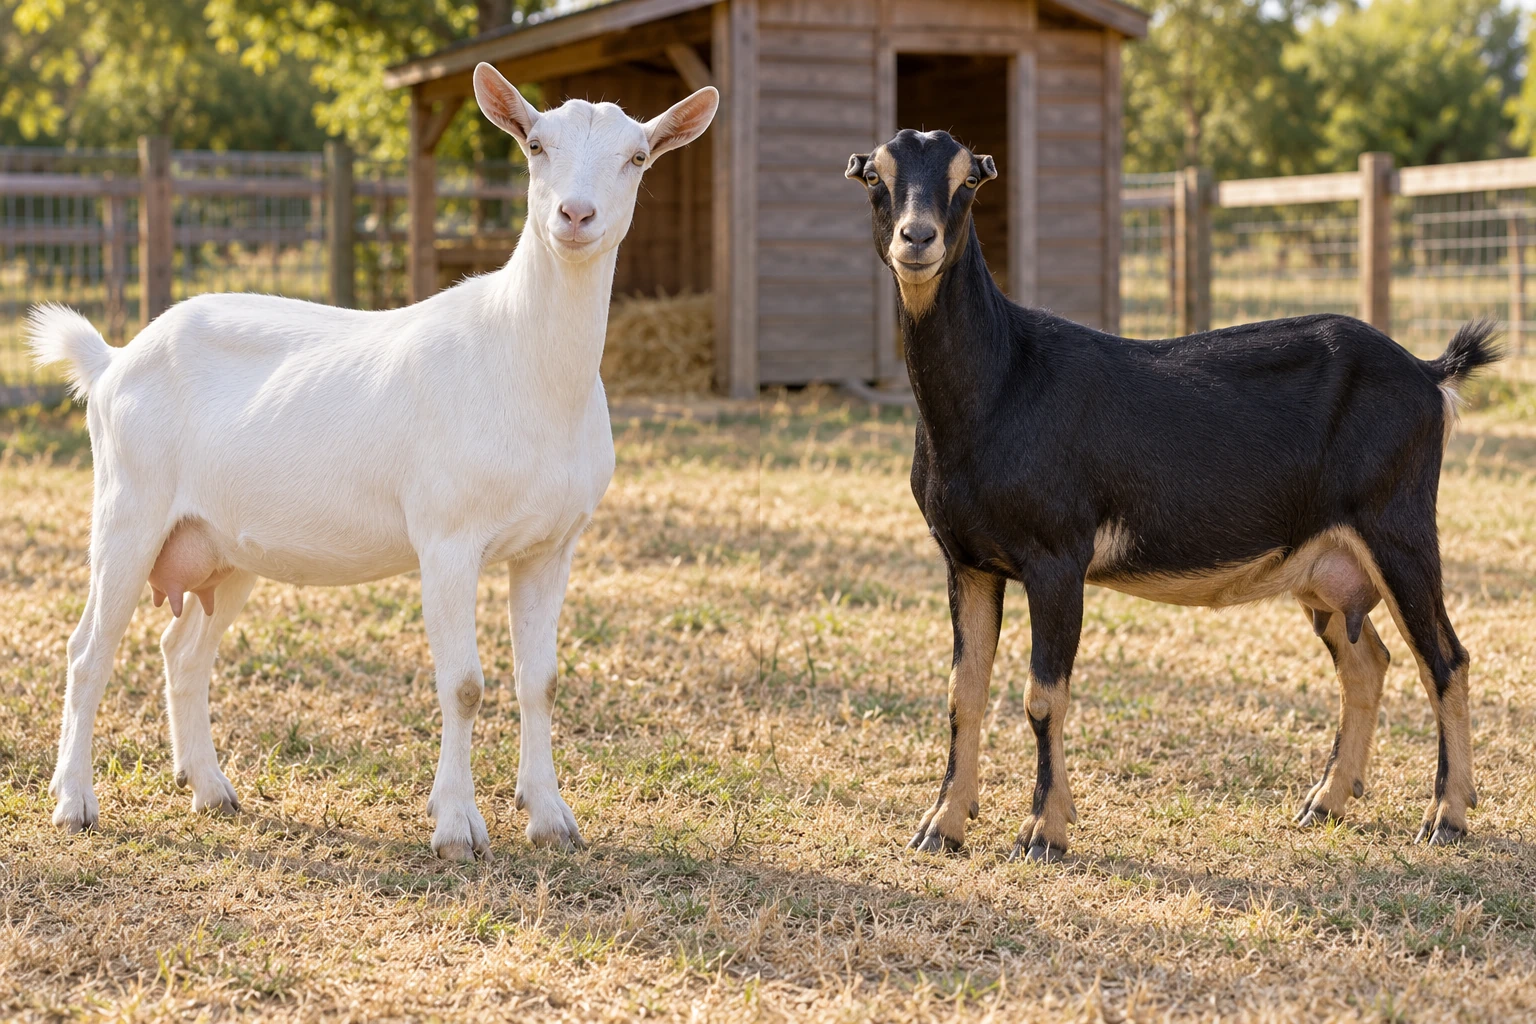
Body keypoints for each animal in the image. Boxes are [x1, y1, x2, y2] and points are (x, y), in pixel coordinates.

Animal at [28, 64, 717, 860]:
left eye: (637, 157)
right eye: (535, 146)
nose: (576, 215)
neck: (522, 363)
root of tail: (112, 361)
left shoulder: (552, 544)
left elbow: (539, 680)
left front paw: (550, 817)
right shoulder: (447, 538)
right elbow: (464, 684)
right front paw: (456, 828)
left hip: (225, 545)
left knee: (183, 652)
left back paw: (211, 788)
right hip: (128, 508)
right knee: (88, 650)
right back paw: (75, 801)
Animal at [847, 129, 1500, 862]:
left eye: (966, 181)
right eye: (876, 176)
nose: (918, 237)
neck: (1004, 381)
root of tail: (1428, 373)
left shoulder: (1056, 557)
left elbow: (1043, 697)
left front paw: (1044, 832)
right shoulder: (967, 560)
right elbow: (964, 695)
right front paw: (941, 826)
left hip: (1398, 527)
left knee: (1444, 659)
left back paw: (1446, 815)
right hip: (1325, 565)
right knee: (1368, 662)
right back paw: (1325, 801)